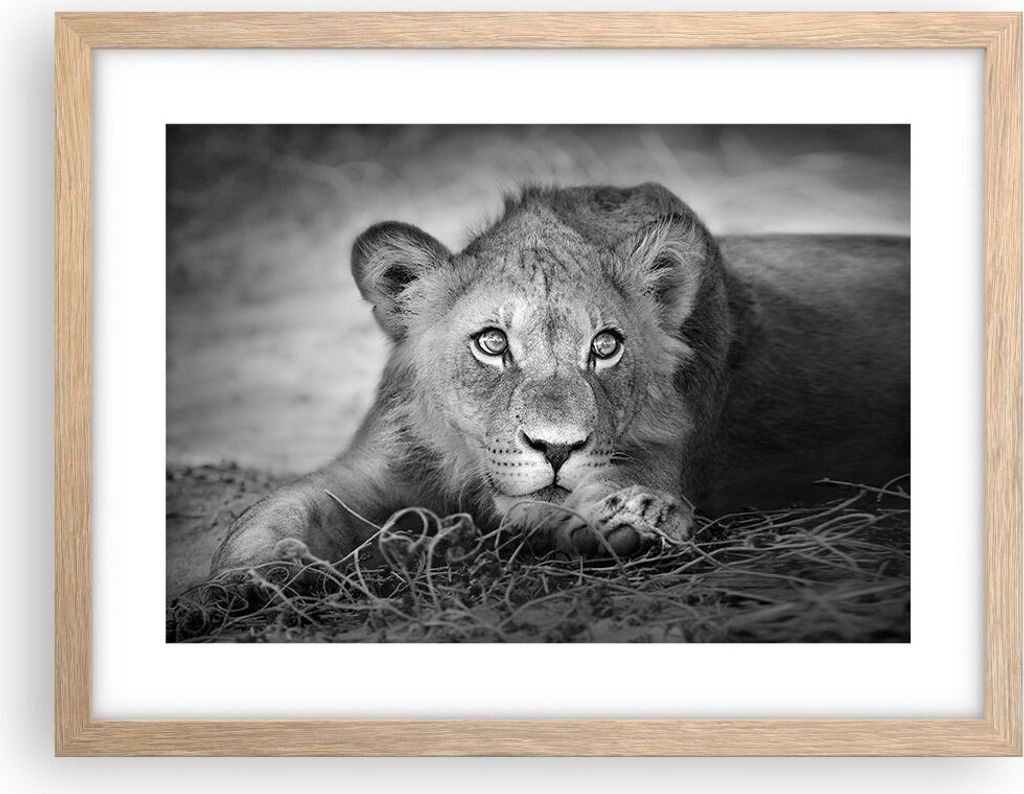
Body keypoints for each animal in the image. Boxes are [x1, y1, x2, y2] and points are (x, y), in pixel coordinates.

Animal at [212, 183, 909, 573]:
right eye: (492, 343)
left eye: (605, 347)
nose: (556, 448)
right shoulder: (376, 465)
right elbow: (276, 509)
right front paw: (253, 575)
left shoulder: (659, 452)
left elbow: (600, 492)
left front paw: (633, 519)